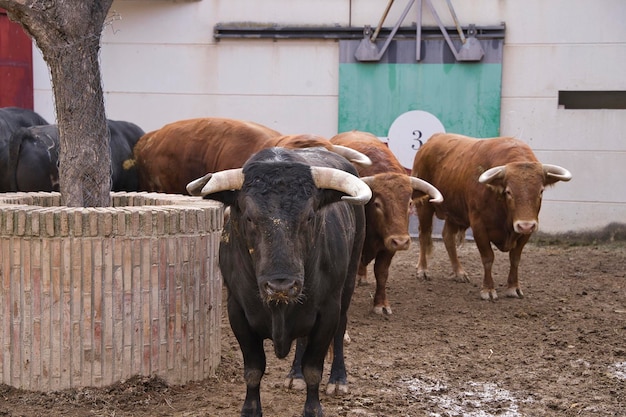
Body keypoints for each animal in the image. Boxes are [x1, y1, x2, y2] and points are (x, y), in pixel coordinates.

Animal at [186, 146, 370, 416]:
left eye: (309, 216)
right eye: (249, 217)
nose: (281, 286)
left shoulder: (327, 312)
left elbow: (313, 369)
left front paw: (313, 409)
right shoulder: (237, 312)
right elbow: (253, 370)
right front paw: (251, 409)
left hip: (347, 283)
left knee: (340, 329)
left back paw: (338, 380)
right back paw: (294, 375)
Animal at [330, 129, 442, 312]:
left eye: (409, 203)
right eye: (377, 204)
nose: (401, 242)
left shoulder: (389, 246)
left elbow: (381, 273)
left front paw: (381, 304)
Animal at [410, 133, 572, 300]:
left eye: (541, 191)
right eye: (508, 191)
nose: (525, 225)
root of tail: (433, 139)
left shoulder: (526, 232)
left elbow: (515, 258)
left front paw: (513, 287)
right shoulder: (479, 226)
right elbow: (488, 257)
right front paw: (488, 289)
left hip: (455, 213)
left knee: (448, 236)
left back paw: (459, 272)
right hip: (424, 205)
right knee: (424, 234)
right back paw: (422, 270)